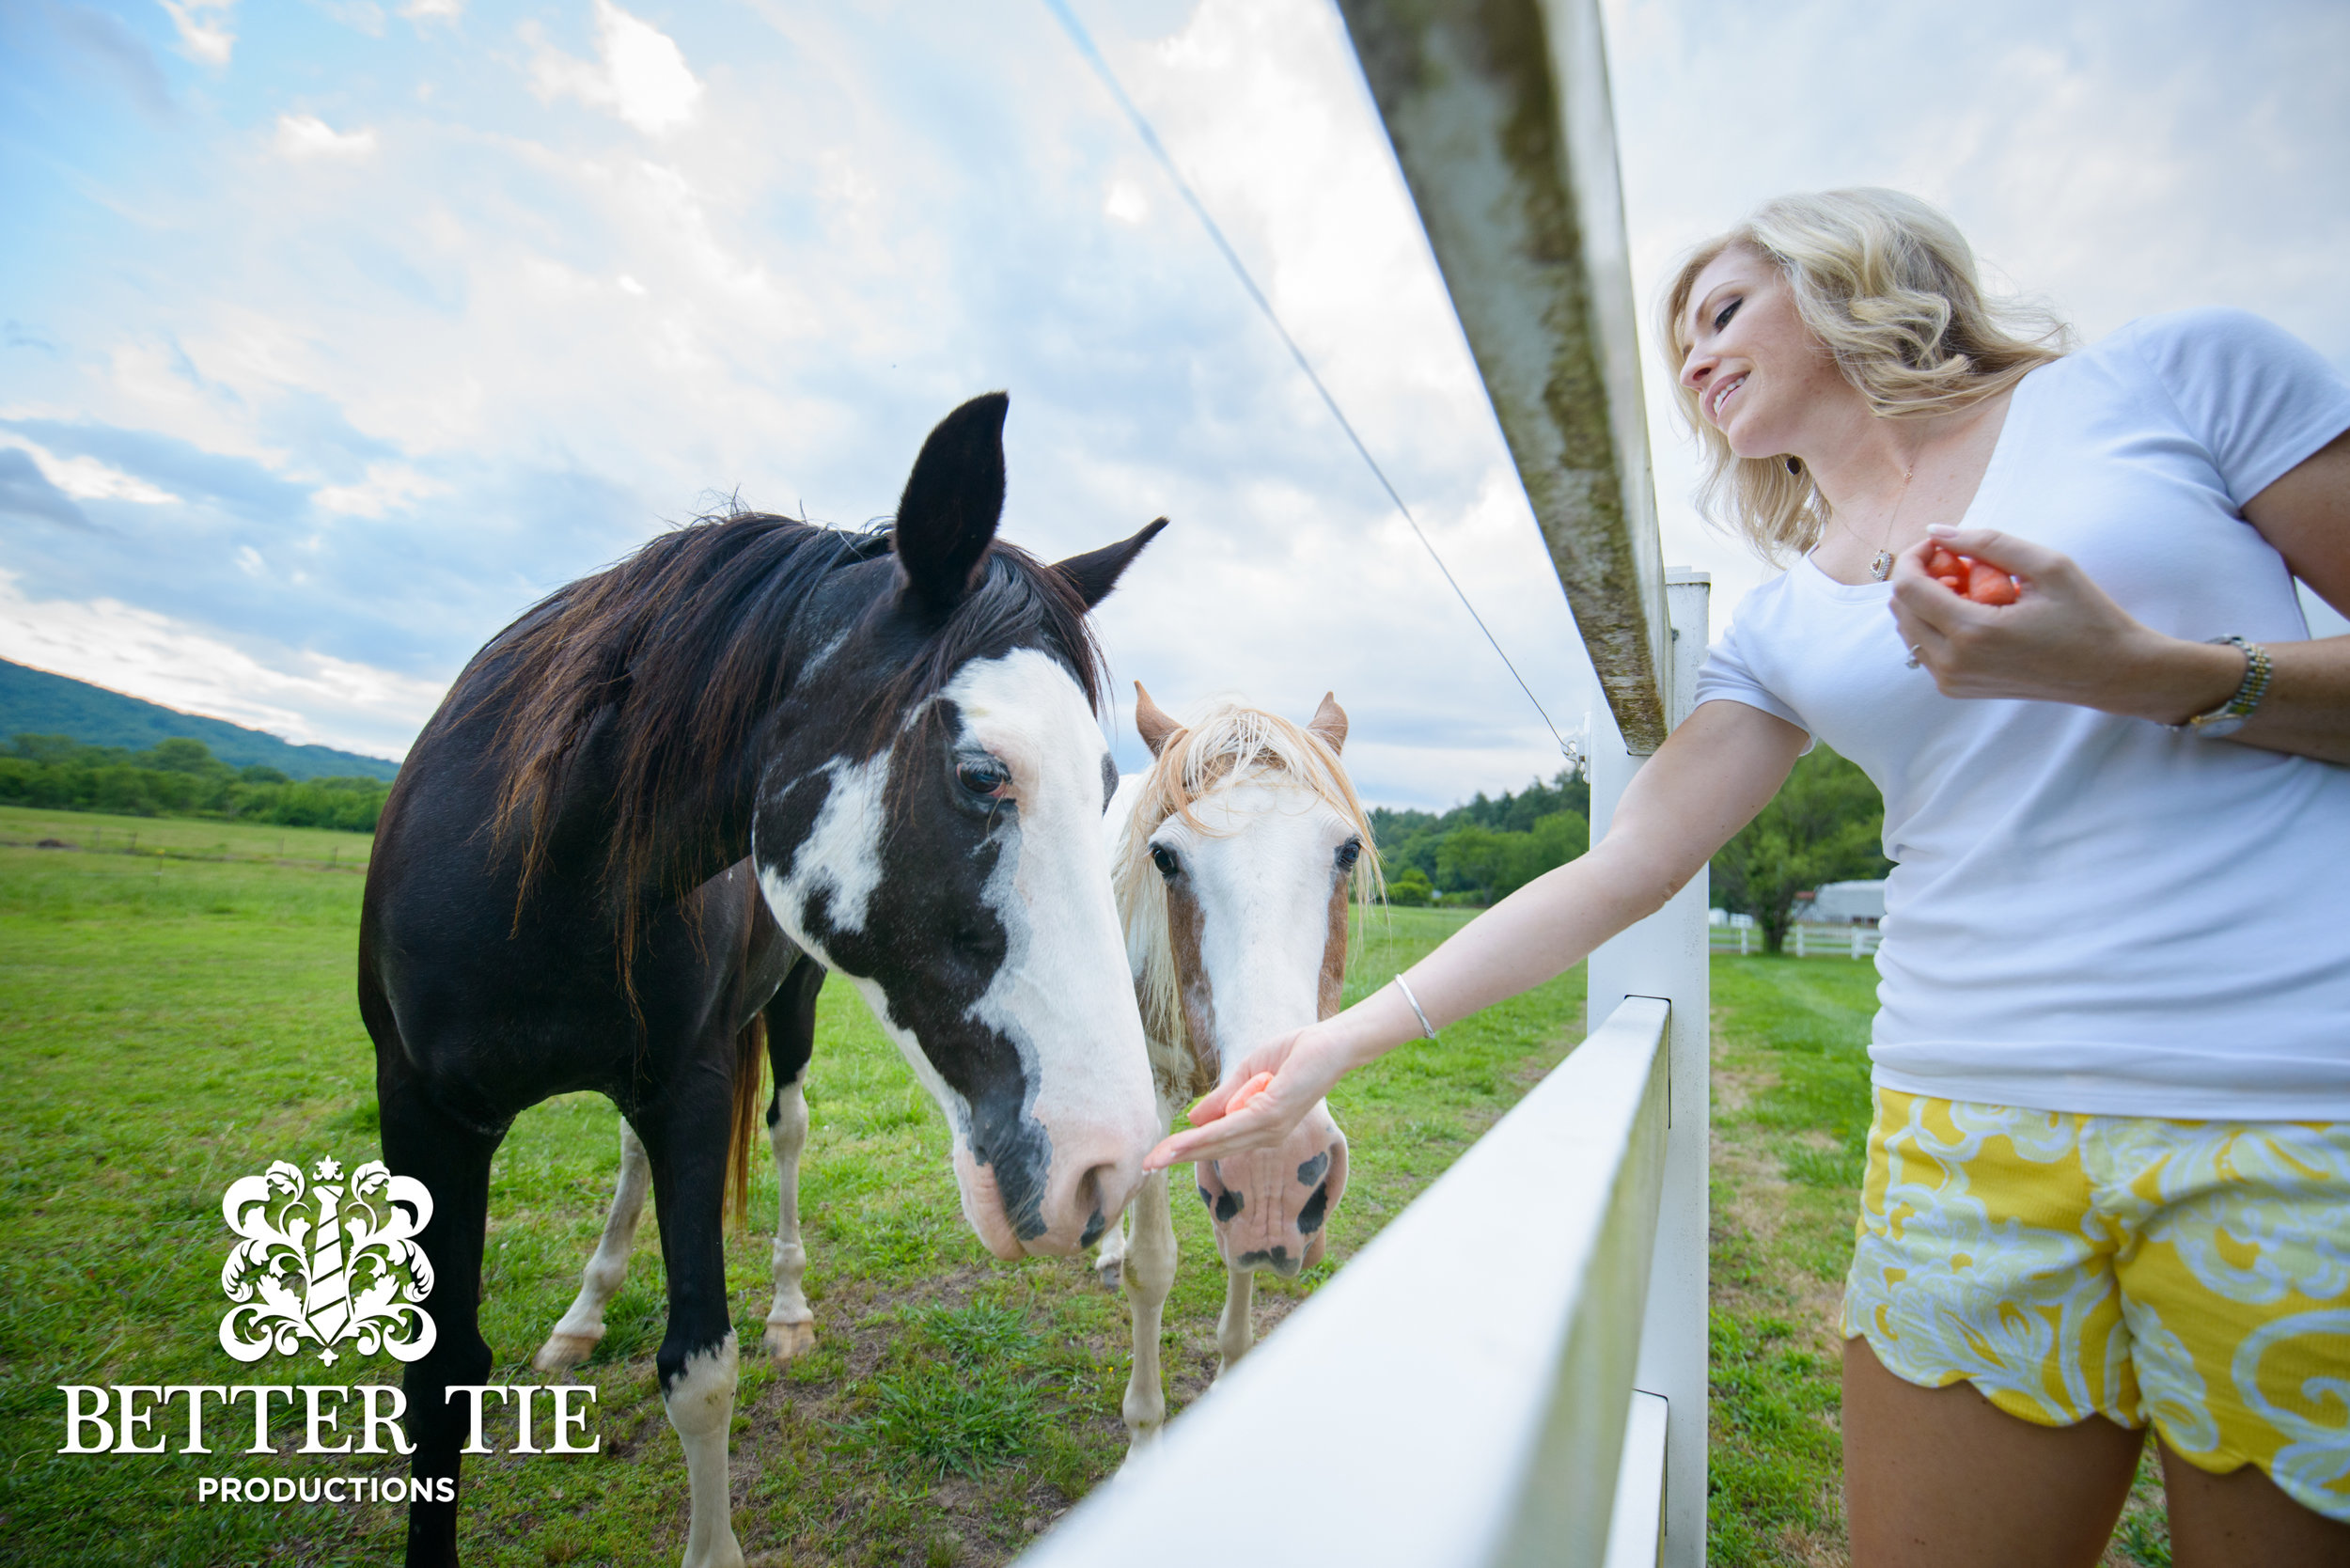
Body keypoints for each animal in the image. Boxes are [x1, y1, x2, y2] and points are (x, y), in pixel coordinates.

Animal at [357, 395, 1166, 1568]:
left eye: (1107, 786)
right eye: (982, 775)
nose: (1110, 1164)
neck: (536, 871)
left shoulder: (692, 1093)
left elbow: (700, 1369)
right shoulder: (423, 1112)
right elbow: (439, 1382)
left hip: (786, 1017)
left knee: (784, 1134)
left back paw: (786, 1307)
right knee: (628, 1162)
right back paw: (583, 1314)